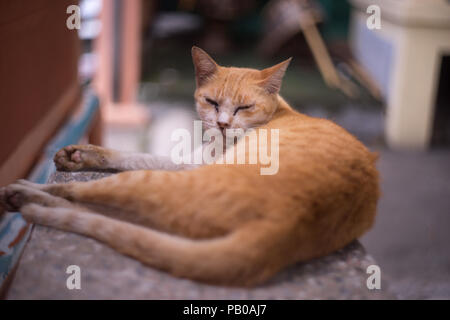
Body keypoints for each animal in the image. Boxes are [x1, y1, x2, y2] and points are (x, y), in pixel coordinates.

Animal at [0, 47, 378, 284]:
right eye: (211, 101)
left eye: (244, 108)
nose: (223, 124)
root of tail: (290, 222)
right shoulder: (189, 162)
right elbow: (134, 154)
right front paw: (81, 154)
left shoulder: (191, 168)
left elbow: (131, 161)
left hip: (148, 186)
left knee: (78, 197)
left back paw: (24, 196)